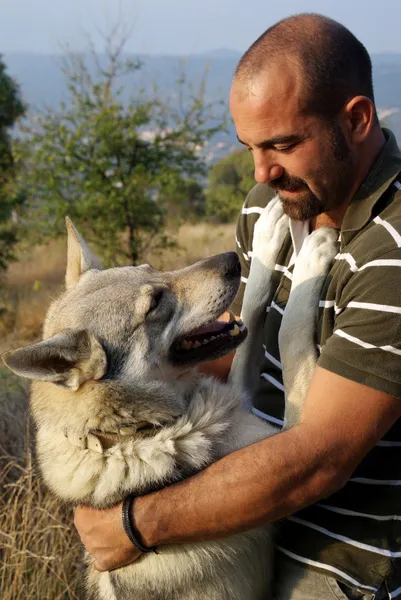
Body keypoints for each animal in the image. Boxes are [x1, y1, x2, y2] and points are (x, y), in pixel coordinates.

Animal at [2, 204, 338, 596]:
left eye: (151, 268)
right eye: (155, 303)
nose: (230, 260)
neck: (137, 431)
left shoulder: (242, 393)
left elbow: (253, 304)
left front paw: (269, 235)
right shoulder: (296, 433)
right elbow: (289, 333)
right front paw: (312, 255)